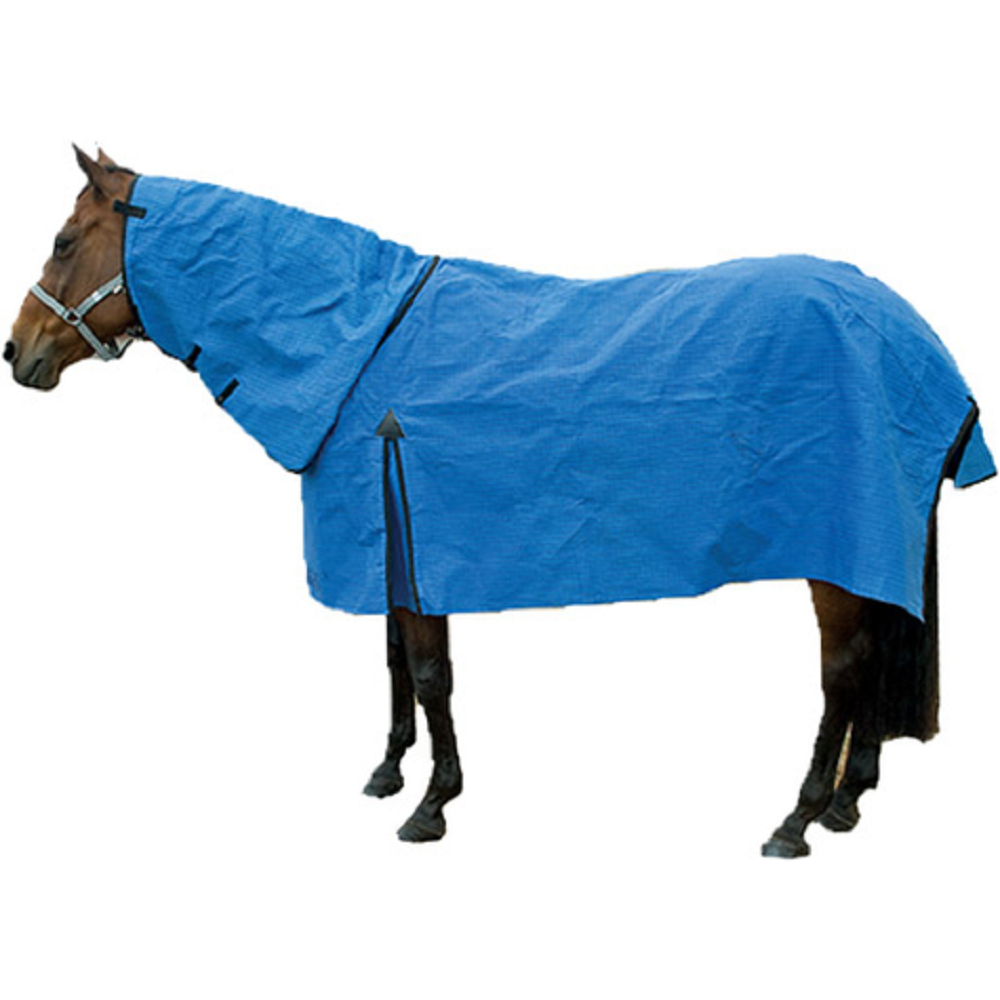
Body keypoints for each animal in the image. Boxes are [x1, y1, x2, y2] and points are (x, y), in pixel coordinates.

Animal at [6, 147, 994, 857]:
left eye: (63, 241)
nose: (18, 353)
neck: (358, 342)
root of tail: (911, 333)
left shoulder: (412, 539)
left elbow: (430, 674)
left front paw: (432, 807)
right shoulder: (391, 547)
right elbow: (395, 665)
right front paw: (389, 772)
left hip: (840, 548)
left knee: (845, 673)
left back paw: (797, 820)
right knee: (880, 653)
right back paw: (848, 801)